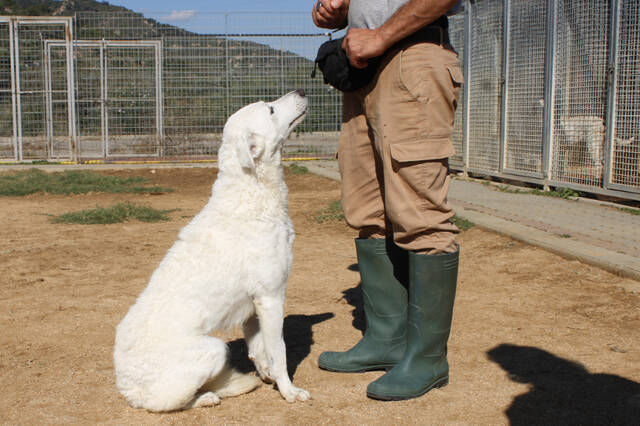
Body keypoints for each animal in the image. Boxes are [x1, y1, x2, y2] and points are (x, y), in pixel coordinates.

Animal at [113, 90, 310, 412]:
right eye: (270, 109)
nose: (303, 91)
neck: (252, 193)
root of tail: (127, 389)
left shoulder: (253, 307)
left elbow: (259, 350)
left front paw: (268, 376)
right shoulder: (271, 298)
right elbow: (279, 353)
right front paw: (289, 391)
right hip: (213, 350)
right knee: (169, 402)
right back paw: (206, 397)